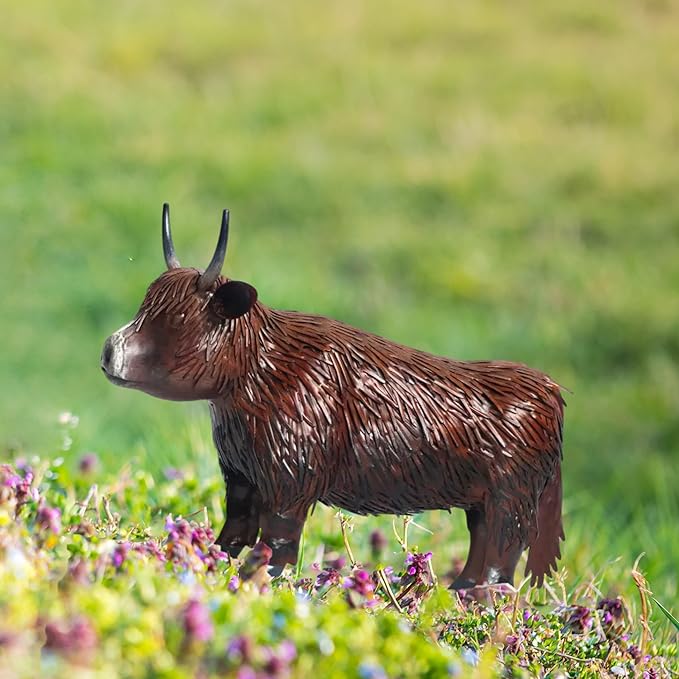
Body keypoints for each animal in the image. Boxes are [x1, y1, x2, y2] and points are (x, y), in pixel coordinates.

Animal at [102, 204, 565, 588]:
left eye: (180, 317)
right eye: (145, 302)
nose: (110, 350)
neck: (262, 372)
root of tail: (549, 389)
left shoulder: (290, 482)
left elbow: (277, 546)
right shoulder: (241, 476)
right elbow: (231, 535)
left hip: (511, 501)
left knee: (502, 562)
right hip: (483, 503)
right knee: (481, 548)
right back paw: (455, 592)